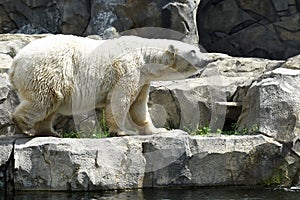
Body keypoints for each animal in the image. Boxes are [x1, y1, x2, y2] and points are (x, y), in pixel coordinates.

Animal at [8, 34, 211, 138]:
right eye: (193, 51)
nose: (207, 59)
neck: (146, 55)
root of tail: (16, 61)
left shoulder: (143, 78)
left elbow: (139, 106)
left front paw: (156, 129)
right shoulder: (128, 69)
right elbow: (120, 100)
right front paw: (124, 131)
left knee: (50, 105)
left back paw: (49, 132)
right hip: (48, 70)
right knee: (44, 100)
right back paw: (25, 127)